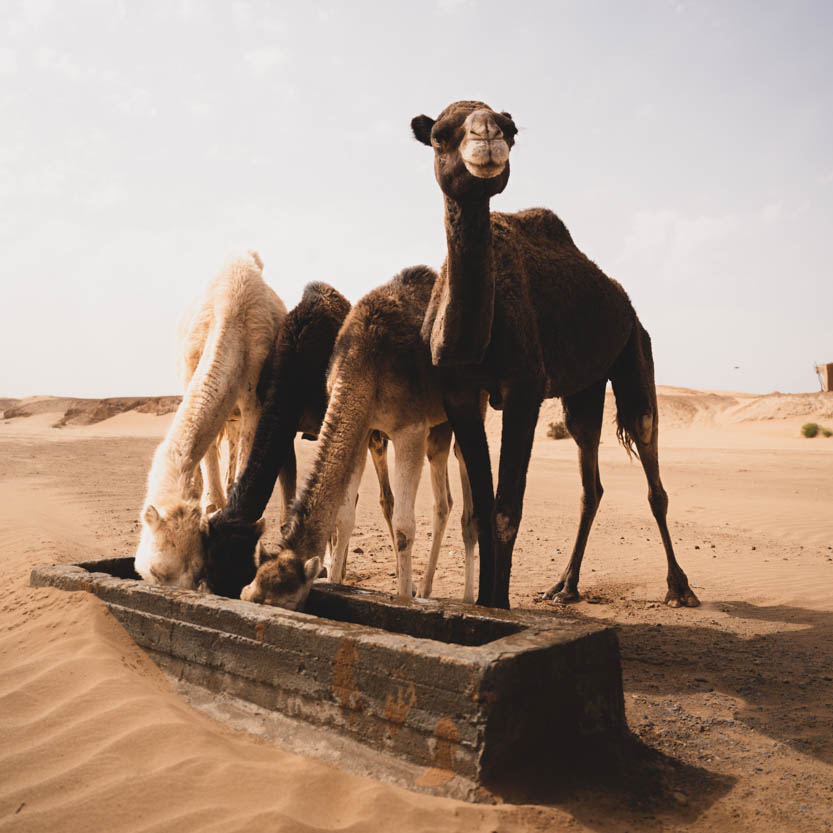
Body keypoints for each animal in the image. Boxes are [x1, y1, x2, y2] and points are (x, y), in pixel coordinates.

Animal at [199, 282, 478, 604]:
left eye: (235, 557)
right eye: (209, 558)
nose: (222, 592)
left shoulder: (405, 426)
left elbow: (399, 524)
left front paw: (400, 594)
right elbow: (335, 514)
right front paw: (334, 577)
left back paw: (457, 594)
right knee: (426, 498)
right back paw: (423, 586)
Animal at [410, 99, 696, 612]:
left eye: (510, 129)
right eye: (440, 134)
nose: (487, 134)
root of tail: (621, 298)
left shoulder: (523, 388)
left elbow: (506, 510)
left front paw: (499, 605)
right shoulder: (458, 391)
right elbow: (483, 509)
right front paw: (485, 604)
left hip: (634, 348)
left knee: (650, 460)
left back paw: (678, 587)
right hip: (585, 387)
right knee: (590, 479)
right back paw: (565, 585)